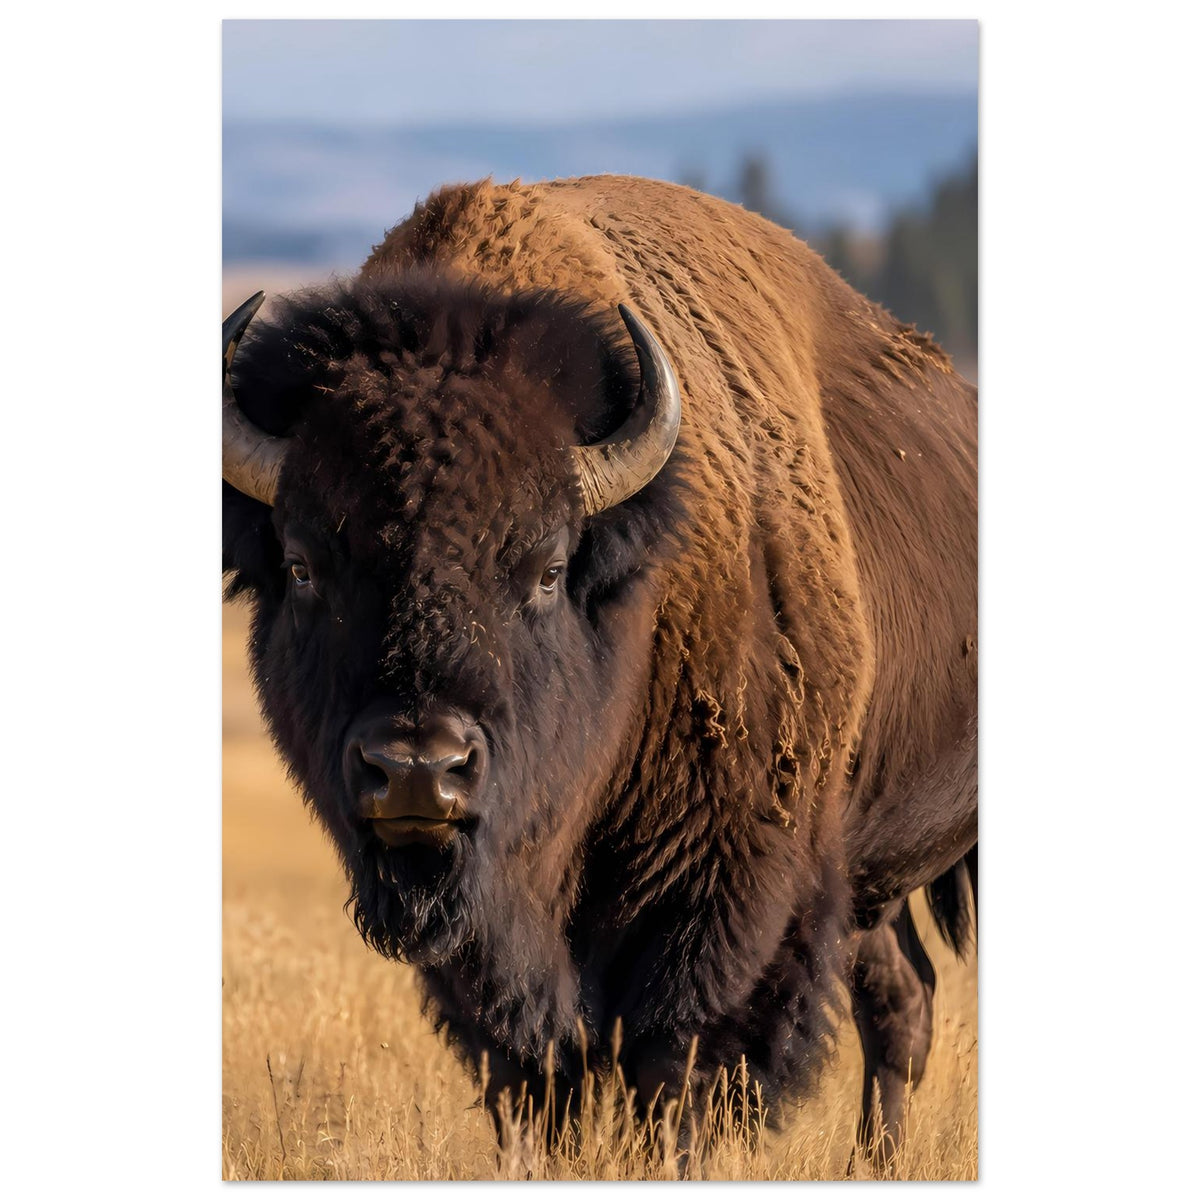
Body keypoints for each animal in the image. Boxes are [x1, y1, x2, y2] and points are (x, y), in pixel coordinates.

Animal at [222, 175, 977, 1165]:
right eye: (303, 565)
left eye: (546, 568)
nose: (419, 770)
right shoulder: (493, 945)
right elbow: (537, 1073)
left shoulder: (724, 896)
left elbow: (677, 1068)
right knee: (901, 994)